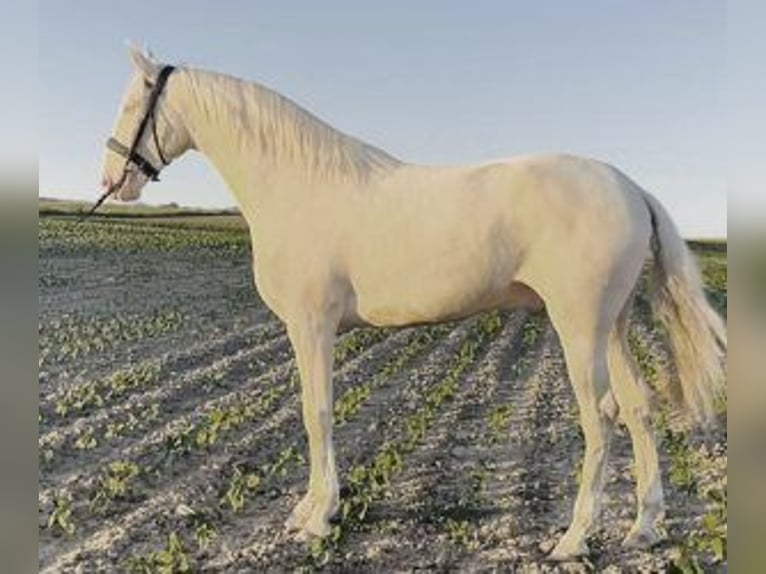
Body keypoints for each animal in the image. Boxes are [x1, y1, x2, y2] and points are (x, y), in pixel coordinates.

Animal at [99, 48, 728, 564]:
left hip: (578, 327)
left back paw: (573, 540)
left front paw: (316, 518)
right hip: (611, 326)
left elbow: (316, 413)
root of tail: (629, 186)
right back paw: (644, 527)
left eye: (133, 104)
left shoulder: (312, 325)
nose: (113, 179)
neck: (299, 185)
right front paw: (311, 509)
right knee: (640, 408)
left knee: (600, 419)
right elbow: (316, 414)